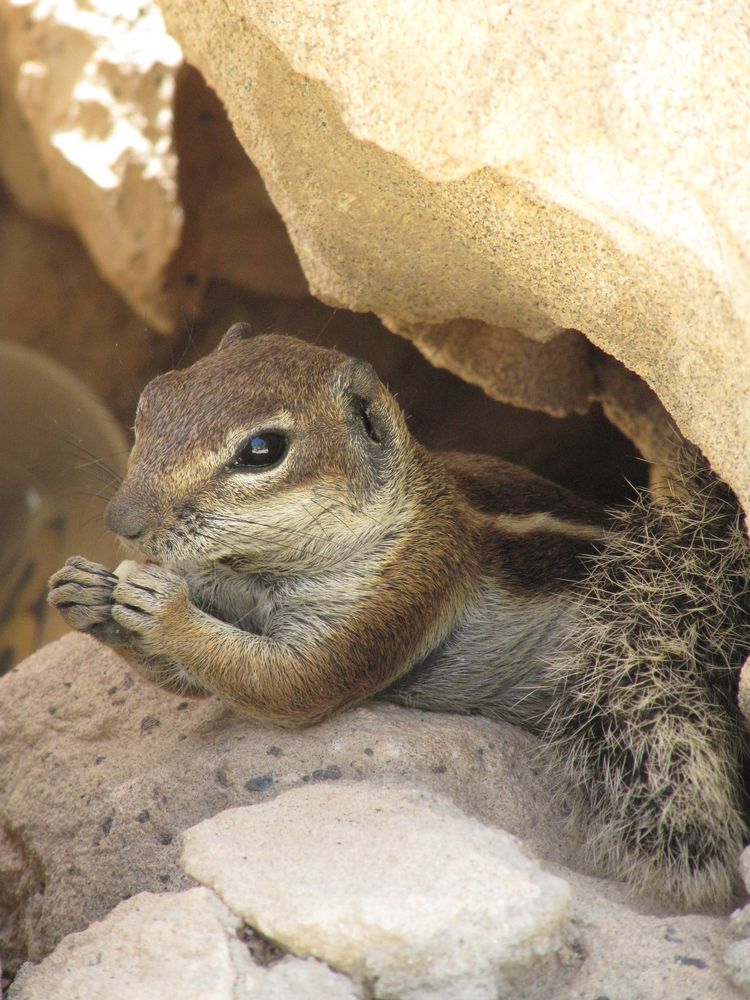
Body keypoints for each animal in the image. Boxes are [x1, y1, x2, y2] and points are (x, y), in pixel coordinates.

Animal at [48, 324, 750, 912]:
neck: (254, 572)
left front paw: (161, 609)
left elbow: (293, 682)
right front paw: (84, 593)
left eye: (262, 450)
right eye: (151, 400)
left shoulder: (401, 592)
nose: (121, 521)